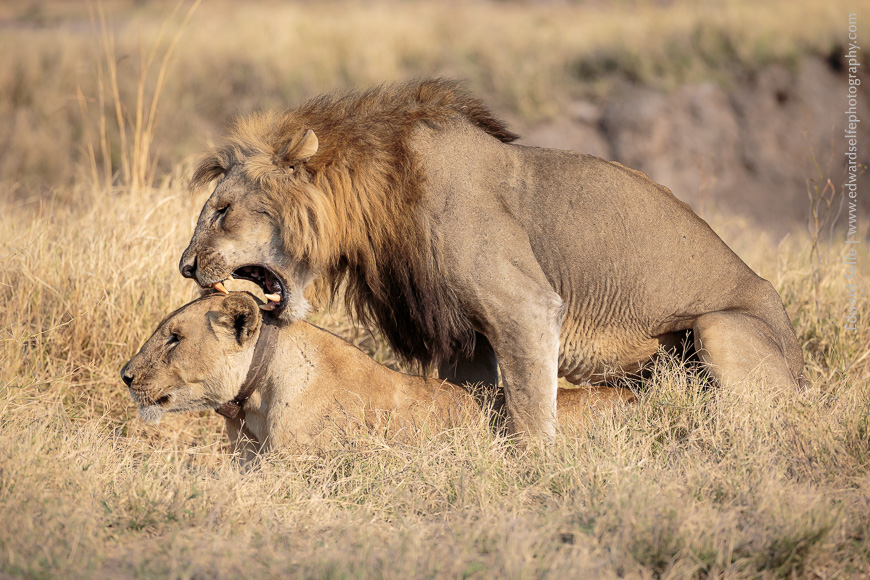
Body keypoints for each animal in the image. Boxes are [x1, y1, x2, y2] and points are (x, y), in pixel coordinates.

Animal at [178, 78, 804, 439]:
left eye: (223, 211)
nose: (186, 267)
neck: (377, 207)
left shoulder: (525, 306)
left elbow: (530, 410)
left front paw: (539, 474)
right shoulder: (462, 334)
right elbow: (474, 401)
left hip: (718, 328)